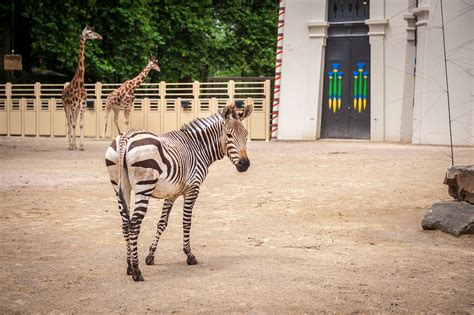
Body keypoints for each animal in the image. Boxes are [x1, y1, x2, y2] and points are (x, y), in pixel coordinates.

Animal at [105, 103, 254, 282]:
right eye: (229, 135)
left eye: (245, 135)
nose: (244, 164)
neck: (198, 147)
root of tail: (125, 137)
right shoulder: (193, 189)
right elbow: (186, 222)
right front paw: (189, 255)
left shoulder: (172, 193)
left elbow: (162, 223)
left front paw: (151, 255)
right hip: (144, 187)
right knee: (134, 224)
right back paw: (136, 271)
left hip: (120, 187)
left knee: (125, 223)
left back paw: (128, 266)